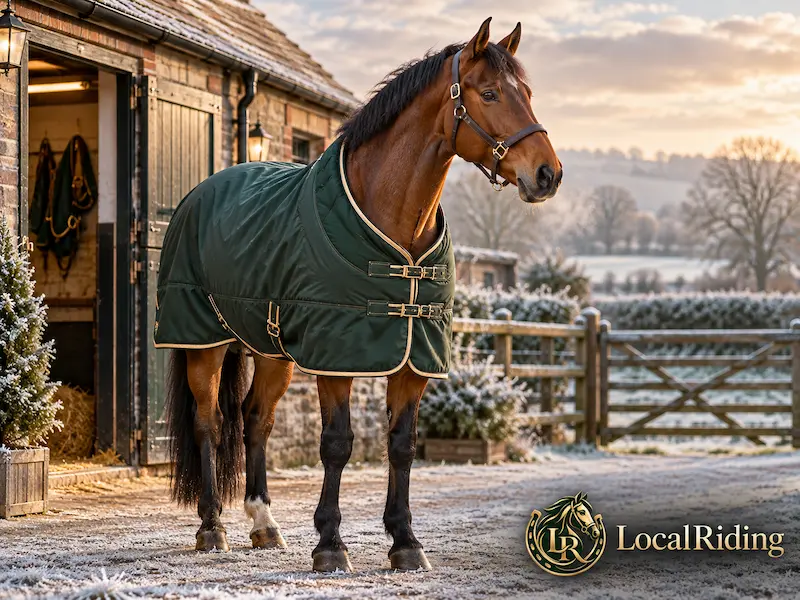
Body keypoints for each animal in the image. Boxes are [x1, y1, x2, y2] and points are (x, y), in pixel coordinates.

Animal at [159, 17, 562, 572]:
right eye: (489, 93)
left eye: (528, 93)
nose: (548, 174)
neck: (394, 228)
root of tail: (200, 194)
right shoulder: (336, 358)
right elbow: (337, 444)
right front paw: (330, 544)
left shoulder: (413, 360)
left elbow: (401, 445)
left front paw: (405, 542)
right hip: (203, 341)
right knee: (209, 424)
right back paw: (211, 527)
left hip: (272, 350)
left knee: (255, 420)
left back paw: (264, 524)